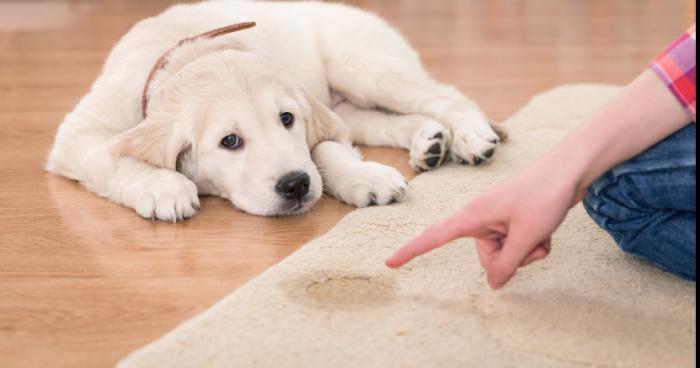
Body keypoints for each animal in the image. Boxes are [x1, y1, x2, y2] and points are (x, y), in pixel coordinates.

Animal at [46, 0, 504, 220]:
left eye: (287, 119)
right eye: (229, 141)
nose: (296, 185)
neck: (191, 52)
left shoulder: (314, 115)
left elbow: (323, 150)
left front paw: (363, 176)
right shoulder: (78, 134)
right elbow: (111, 157)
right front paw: (164, 187)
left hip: (363, 67)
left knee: (446, 96)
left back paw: (470, 137)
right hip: (351, 103)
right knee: (383, 122)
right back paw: (429, 141)